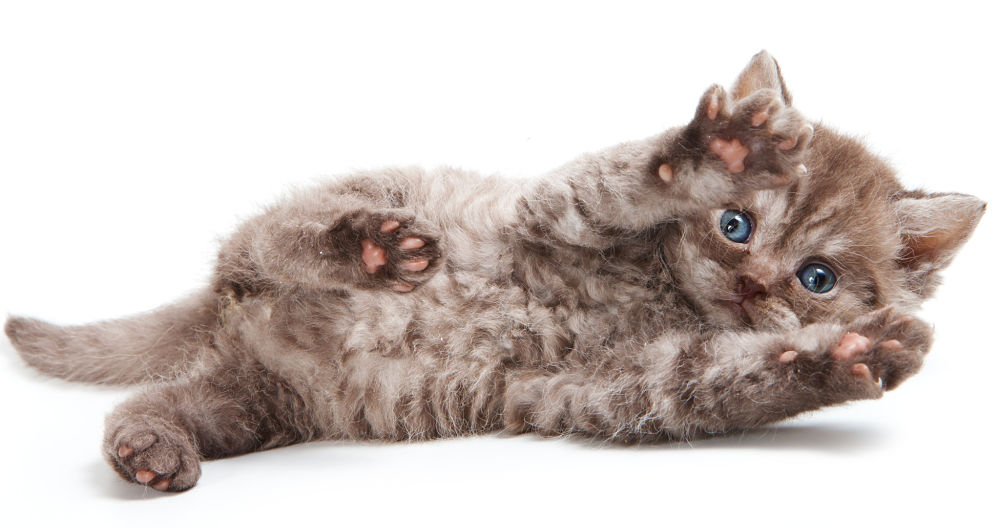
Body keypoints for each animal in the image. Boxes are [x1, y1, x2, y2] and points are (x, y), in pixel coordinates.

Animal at [1, 51, 984, 492]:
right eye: (735, 225)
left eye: (817, 278)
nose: (753, 284)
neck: (661, 290)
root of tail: (221, 301)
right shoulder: (556, 208)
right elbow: (635, 177)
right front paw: (721, 148)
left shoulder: (636, 383)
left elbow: (737, 377)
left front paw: (854, 353)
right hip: (327, 219)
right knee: (288, 238)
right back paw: (367, 249)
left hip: (262, 404)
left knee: (157, 402)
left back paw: (149, 446)